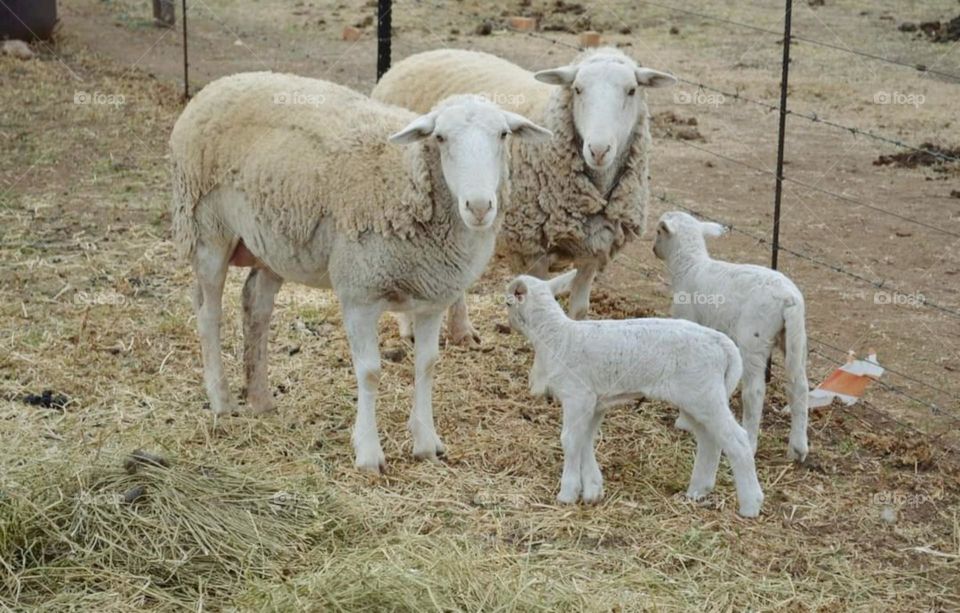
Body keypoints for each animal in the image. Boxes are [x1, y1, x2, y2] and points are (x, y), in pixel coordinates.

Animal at [169, 72, 551, 473]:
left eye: (504, 134)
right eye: (440, 138)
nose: (478, 206)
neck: (407, 180)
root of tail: (220, 83)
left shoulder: (433, 298)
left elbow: (427, 365)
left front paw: (426, 442)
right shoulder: (359, 292)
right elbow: (369, 371)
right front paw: (368, 452)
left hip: (273, 243)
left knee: (256, 307)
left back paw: (260, 399)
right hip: (205, 227)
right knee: (208, 312)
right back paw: (221, 399)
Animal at [372, 48, 677, 344]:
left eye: (631, 90)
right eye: (577, 89)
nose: (599, 149)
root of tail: (410, 60)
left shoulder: (593, 247)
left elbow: (579, 310)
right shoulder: (531, 247)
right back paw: (445, 330)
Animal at [506, 272, 765, 518]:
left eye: (508, 302)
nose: (508, 322)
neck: (557, 337)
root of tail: (723, 344)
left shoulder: (577, 396)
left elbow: (570, 440)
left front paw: (567, 494)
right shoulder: (596, 403)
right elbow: (586, 440)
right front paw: (593, 490)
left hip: (705, 395)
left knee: (737, 441)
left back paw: (750, 505)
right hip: (697, 398)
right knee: (710, 439)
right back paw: (697, 491)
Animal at [652, 211, 809, 462]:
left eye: (658, 231)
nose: (653, 249)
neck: (689, 266)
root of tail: (789, 298)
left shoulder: (688, 320)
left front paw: (683, 421)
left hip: (754, 338)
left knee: (754, 392)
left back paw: (751, 442)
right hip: (795, 337)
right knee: (800, 386)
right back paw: (798, 448)